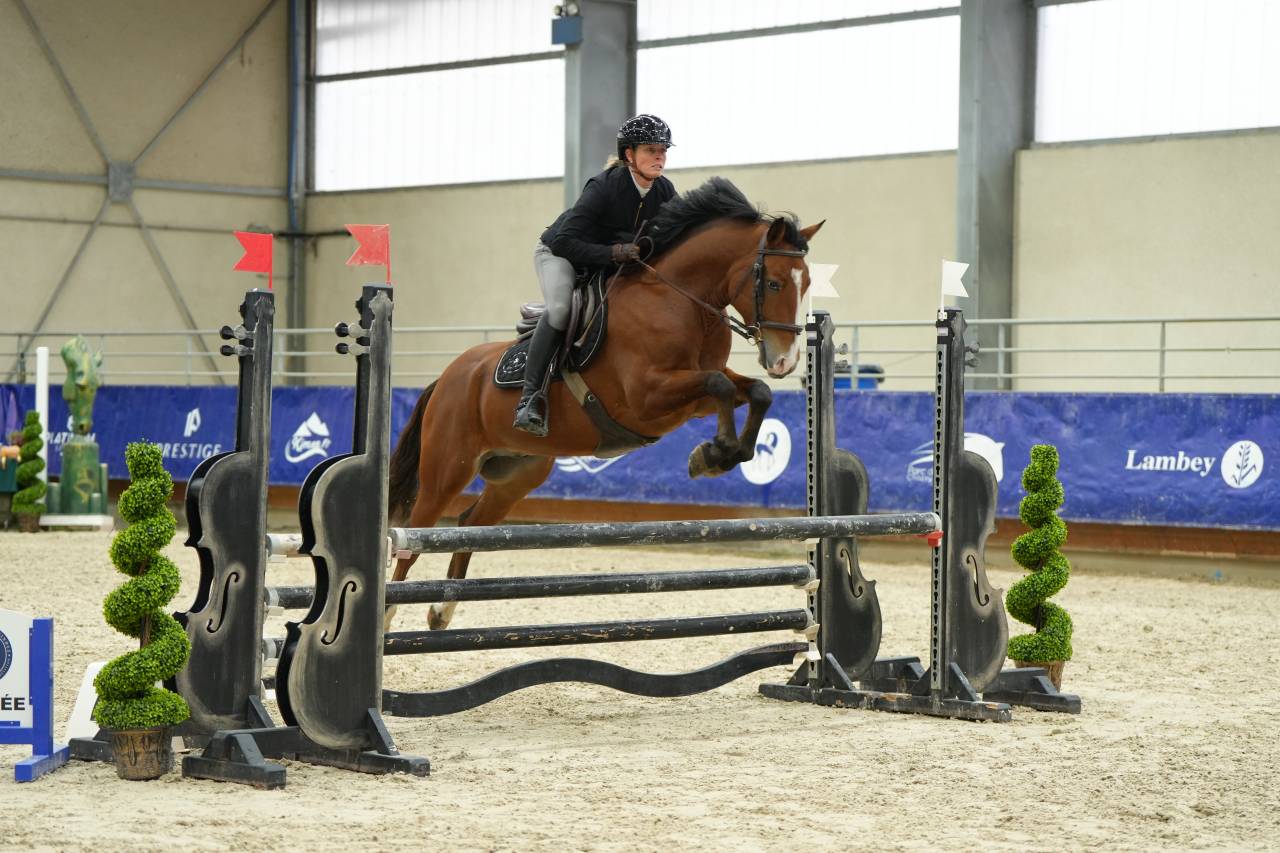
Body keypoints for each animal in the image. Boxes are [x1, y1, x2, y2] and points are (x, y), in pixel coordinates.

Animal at [386, 177, 824, 630]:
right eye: (774, 283)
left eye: (807, 283)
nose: (785, 361)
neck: (681, 300)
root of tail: (447, 377)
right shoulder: (648, 396)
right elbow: (719, 385)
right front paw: (715, 452)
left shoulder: (692, 398)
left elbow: (755, 392)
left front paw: (720, 455)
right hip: (446, 470)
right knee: (414, 539)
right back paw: (388, 618)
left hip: (517, 475)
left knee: (470, 525)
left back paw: (442, 609)